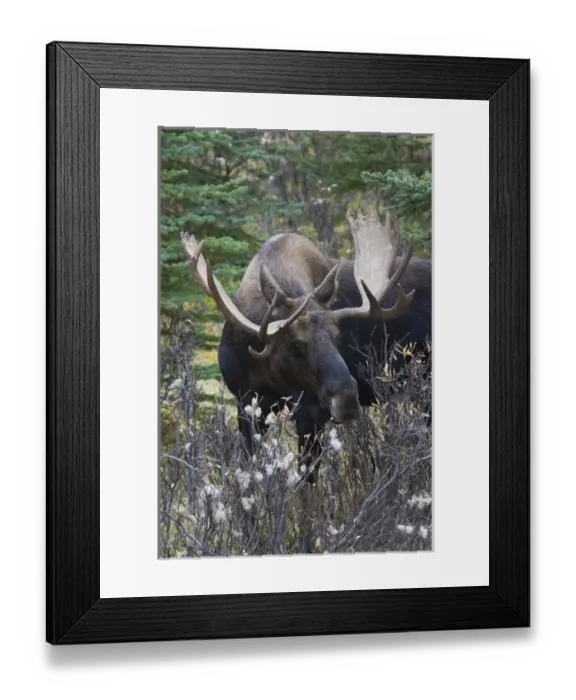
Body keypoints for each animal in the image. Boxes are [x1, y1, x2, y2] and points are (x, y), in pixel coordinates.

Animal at [180, 207, 431, 484]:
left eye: (337, 337)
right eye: (297, 345)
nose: (347, 400)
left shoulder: (312, 412)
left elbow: (307, 481)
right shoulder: (246, 403)